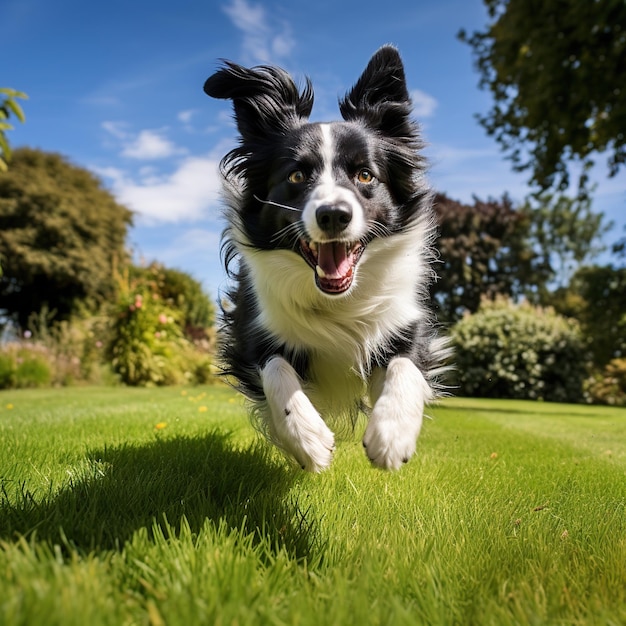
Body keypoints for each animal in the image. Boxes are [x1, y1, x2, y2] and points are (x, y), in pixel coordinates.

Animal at [205, 46, 448, 470]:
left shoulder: (406, 321)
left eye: (365, 175)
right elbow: (275, 367)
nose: (334, 214)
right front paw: (307, 438)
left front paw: (392, 433)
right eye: (297, 176)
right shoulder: (252, 329)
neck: (337, 301)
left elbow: (405, 364)